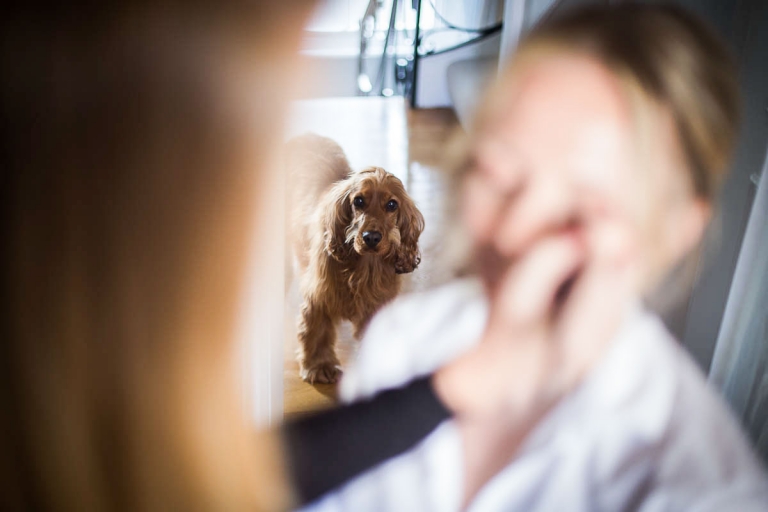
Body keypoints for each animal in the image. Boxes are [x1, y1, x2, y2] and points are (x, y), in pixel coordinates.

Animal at [286, 136, 424, 384]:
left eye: (392, 204)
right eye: (358, 201)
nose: (371, 238)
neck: (363, 266)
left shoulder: (377, 305)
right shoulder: (318, 293)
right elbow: (316, 330)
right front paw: (319, 366)